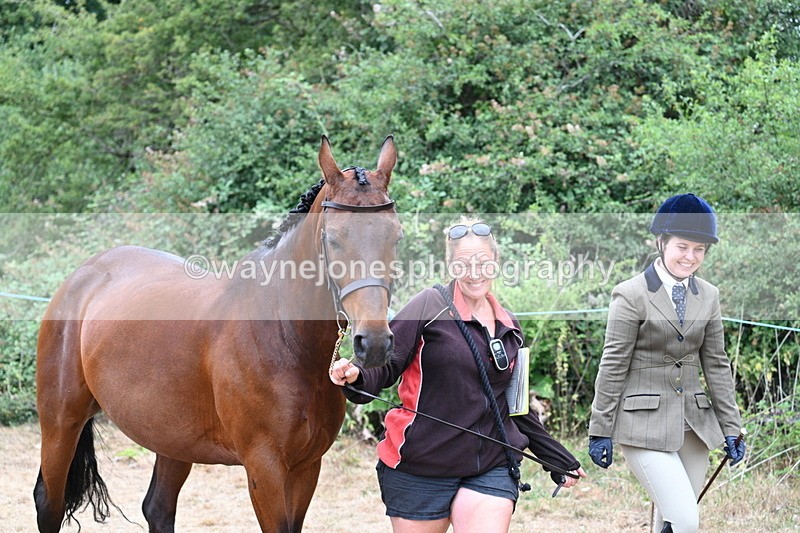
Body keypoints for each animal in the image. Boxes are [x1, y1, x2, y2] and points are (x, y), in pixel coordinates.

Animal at [33, 135, 402, 532]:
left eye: (395, 237)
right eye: (333, 239)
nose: (374, 343)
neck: (285, 337)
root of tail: (83, 276)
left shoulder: (307, 467)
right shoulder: (264, 468)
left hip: (171, 437)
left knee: (157, 508)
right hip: (60, 423)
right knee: (49, 503)